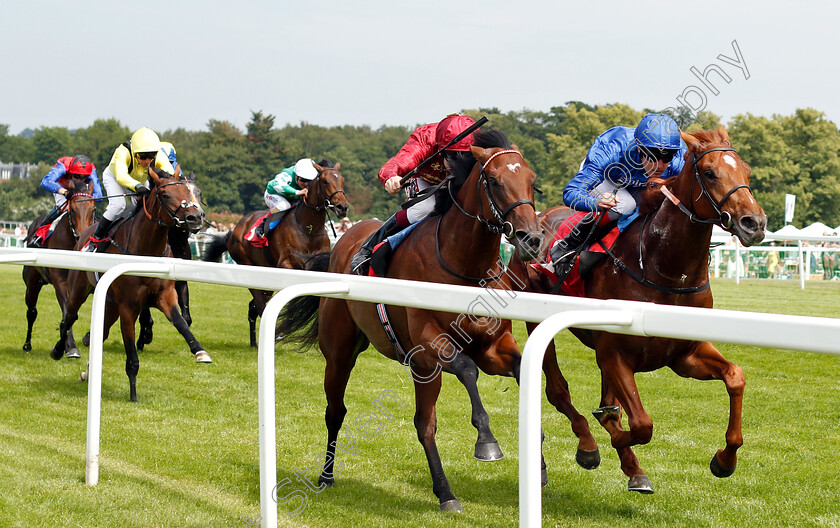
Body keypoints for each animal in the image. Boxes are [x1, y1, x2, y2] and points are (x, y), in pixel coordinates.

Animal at [22, 179, 97, 352]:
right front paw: (71, 347)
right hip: (32, 283)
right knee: (32, 311)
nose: (83, 236)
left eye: (93, 209)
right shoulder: (61, 281)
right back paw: (27, 344)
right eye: (73, 209)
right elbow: (67, 312)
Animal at [51, 167, 212, 402]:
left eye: (189, 191)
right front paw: (133, 394)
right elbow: (132, 357)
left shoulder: (165, 296)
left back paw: (87, 368)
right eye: (165, 195)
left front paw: (200, 352)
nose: (195, 216)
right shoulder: (128, 307)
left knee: (100, 332)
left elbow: (181, 322)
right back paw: (59, 350)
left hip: (110, 304)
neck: (146, 250)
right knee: (69, 318)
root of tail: (85, 233)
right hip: (79, 291)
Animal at [203, 162, 348, 350]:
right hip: (248, 267)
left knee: (253, 307)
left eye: (342, 180)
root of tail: (233, 231)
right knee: (259, 304)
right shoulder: (285, 264)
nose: (342, 207)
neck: (308, 227)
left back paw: (254, 342)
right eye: (324, 181)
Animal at [276, 129, 544, 512]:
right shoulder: (430, 344)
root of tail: (343, 240)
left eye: (532, 180)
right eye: (493, 180)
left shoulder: (492, 347)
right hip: (342, 353)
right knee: (337, 411)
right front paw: (487, 442)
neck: (465, 266)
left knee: (423, 424)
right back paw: (328, 475)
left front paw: (540, 463)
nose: (531, 239)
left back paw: (445, 492)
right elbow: (467, 369)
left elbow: (520, 368)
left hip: (417, 369)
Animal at [506, 126, 768, 492]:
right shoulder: (615, 352)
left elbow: (735, 377)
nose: (754, 223)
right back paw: (588, 446)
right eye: (710, 172)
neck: (664, 268)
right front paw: (610, 441)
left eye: (746, 170)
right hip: (537, 316)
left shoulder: (683, 354)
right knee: (558, 391)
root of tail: (537, 220)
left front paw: (724, 460)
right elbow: (641, 424)